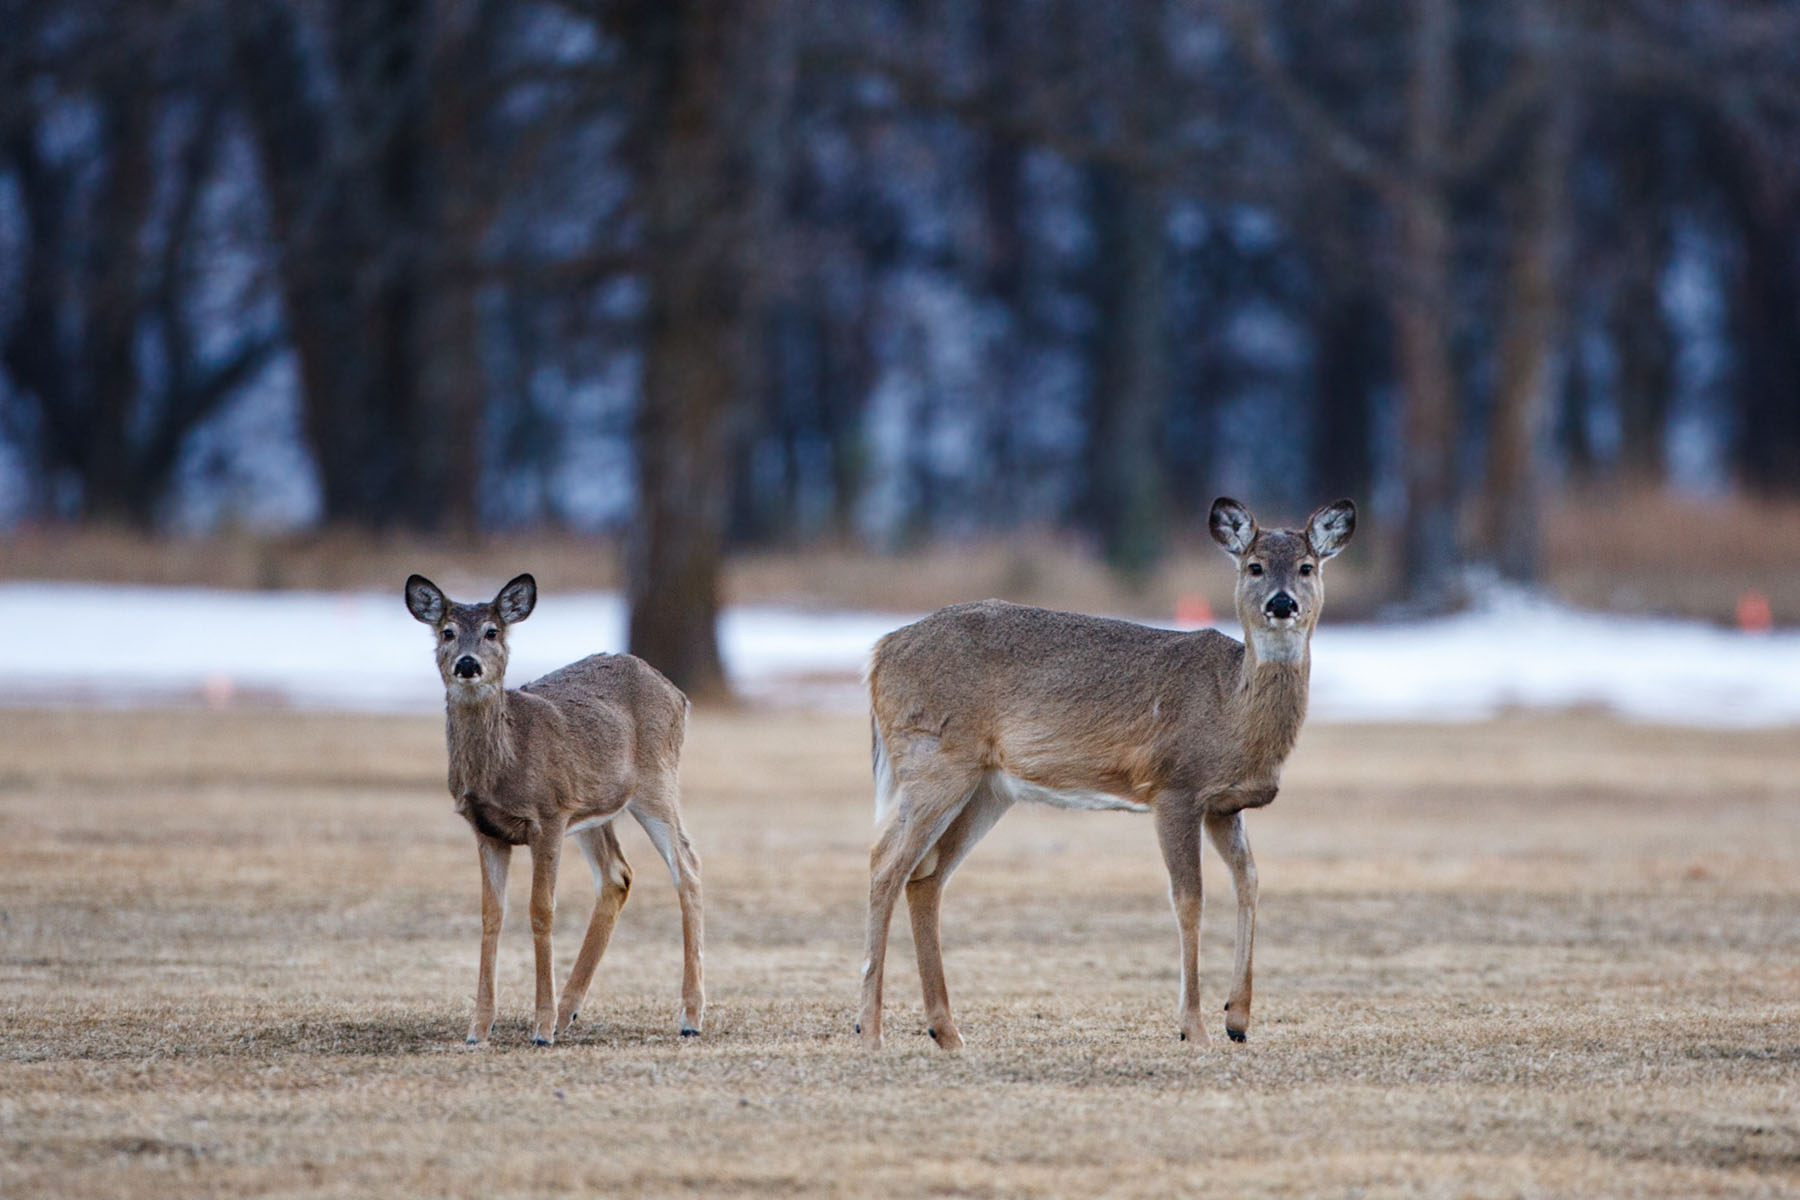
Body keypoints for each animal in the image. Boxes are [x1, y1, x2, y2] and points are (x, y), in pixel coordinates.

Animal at [405, 572, 705, 1043]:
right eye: (447, 631)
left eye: (493, 631)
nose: (468, 664)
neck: (506, 761)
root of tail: (677, 692)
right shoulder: (485, 828)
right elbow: (491, 915)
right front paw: (479, 1028)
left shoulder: (547, 815)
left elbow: (541, 910)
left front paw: (540, 1027)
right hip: (591, 809)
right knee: (618, 875)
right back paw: (570, 1012)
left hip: (656, 783)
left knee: (688, 867)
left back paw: (690, 1017)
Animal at [856, 496, 1353, 1050]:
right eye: (1255, 566)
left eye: (1307, 567)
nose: (1282, 603)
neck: (1230, 707)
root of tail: (879, 652)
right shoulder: (1174, 787)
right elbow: (1189, 899)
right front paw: (1194, 1028)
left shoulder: (1223, 805)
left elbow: (1249, 880)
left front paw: (1238, 1019)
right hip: (935, 760)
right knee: (885, 863)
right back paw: (870, 1030)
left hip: (987, 787)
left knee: (926, 877)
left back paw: (946, 1031)